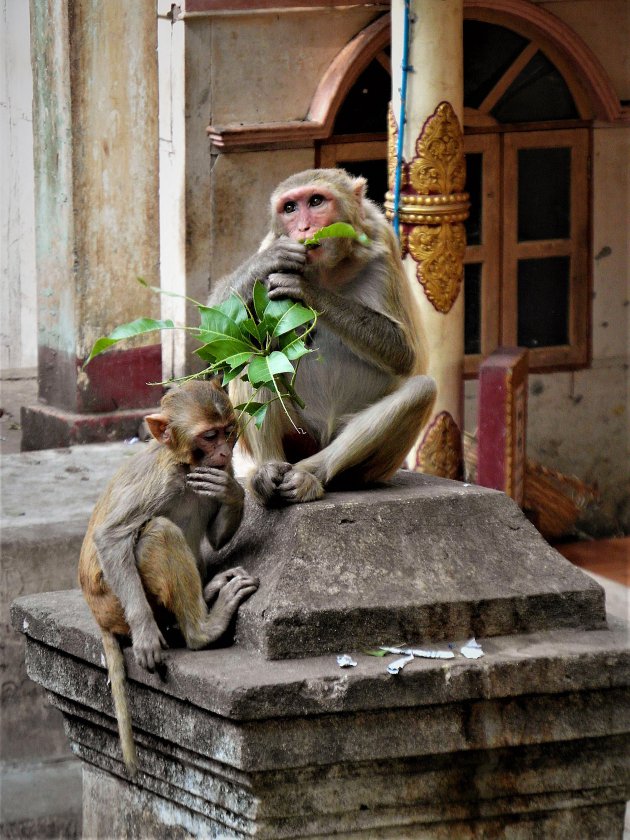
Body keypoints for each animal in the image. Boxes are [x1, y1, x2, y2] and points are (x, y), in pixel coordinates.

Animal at [79, 380, 256, 776]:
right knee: (157, 533)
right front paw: (146, 631)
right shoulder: (158, 482)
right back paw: (202, 630)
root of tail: (99, 617)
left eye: (229, 432)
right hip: (114, 604)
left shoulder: (220, 471)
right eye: (209, 436)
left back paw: (208, 593)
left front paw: (232, 491)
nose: (223, 451)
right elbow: (111, 536)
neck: (183, 466)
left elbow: (217, 535)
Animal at [210, 167, 436, 502]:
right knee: (255, 355)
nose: (304, 227)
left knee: (422, 389)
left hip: (366, 464)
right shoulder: (271, 240)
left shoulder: (383, 241)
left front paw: (307, 290)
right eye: (290, 208)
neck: (330, 270)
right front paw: (270, 261)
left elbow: (404, 354)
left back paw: (311, 473)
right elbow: (220, 330)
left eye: (316, 201)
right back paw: (267, 470)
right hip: (296, 435)